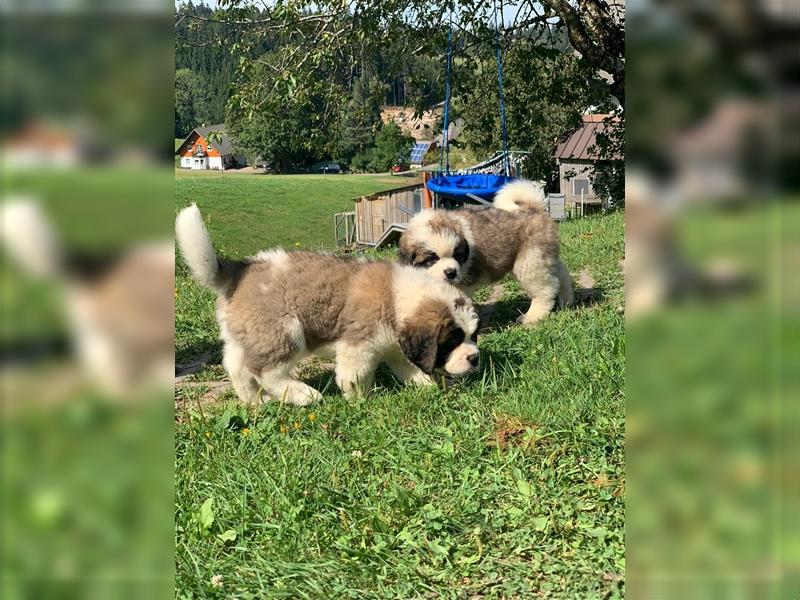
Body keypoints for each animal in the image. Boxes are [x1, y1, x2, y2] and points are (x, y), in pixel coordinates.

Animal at [176, 204, 482, 406]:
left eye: (473, 336)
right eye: (451, 340)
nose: (475, 357)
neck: (398, 296)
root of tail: (240, 269)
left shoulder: (394, 344)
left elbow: (407, 365)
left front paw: (425, 385)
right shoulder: (358, 343)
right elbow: (355, 372)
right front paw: (358, 397)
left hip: (247, 334)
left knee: (236, 365)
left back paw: (255, 401)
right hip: (283, 330)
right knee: (264, 370)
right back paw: (303, 395)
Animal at [400, 178, 576, 326]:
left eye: (457, 255)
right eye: (432, 259)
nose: (451, 273)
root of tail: (533, 209)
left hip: (530, 263)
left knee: (545, 290)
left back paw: (532, 316)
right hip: (544, 258)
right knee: (560, 275)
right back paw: (566, 300)